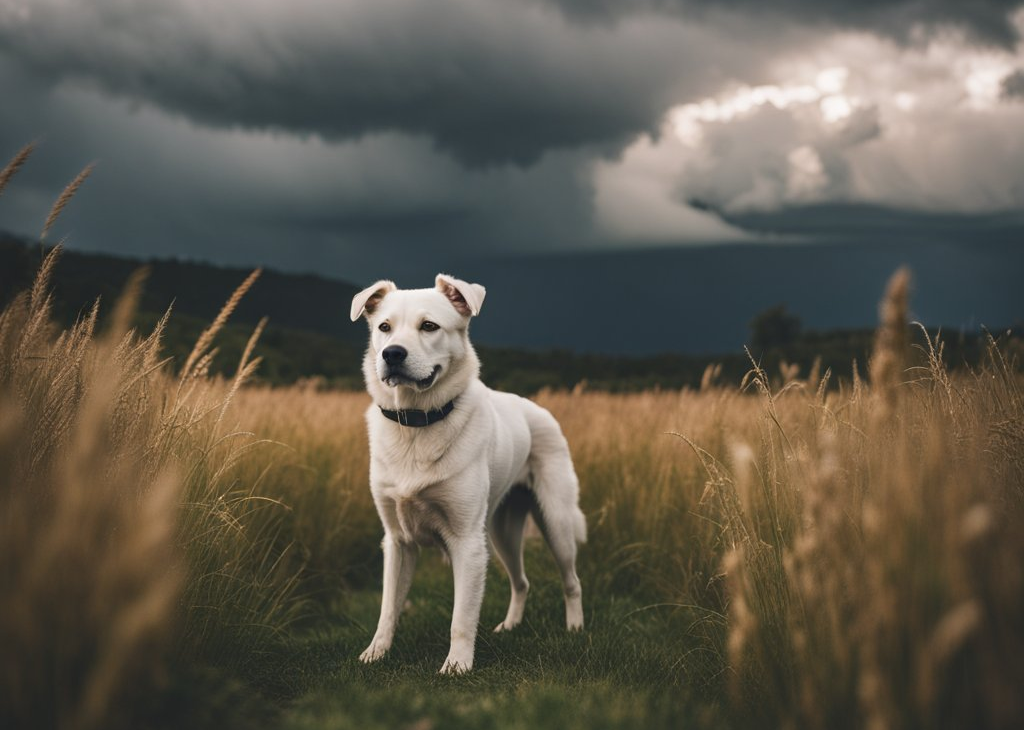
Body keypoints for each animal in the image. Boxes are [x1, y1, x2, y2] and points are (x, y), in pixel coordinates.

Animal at [350, 276, 585, 675]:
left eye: (429, 326)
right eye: (384, 328)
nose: (392, 354)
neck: (417, 423)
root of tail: (537, 408)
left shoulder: (466, 543)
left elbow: (461, 617)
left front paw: (456, 667)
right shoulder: (398, 541)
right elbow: (387, 608)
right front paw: (376, 653)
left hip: (556, 524)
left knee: (572, 581)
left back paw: (575, 628)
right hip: (502, 532)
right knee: (521, 582)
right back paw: (510, 626)